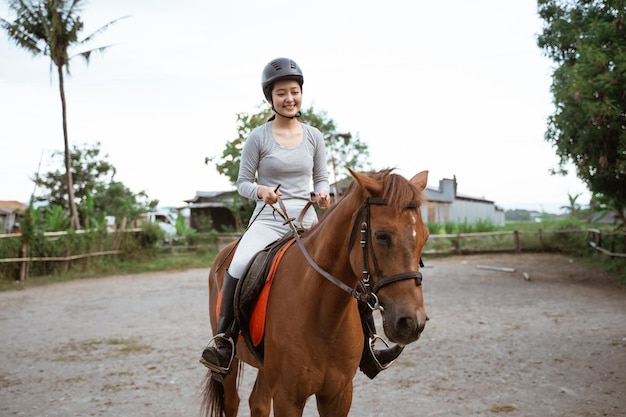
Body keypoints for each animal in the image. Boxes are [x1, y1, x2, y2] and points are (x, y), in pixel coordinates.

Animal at [200, 167, 428, 414]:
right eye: (382, 236)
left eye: (424, 237)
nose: (412, 323)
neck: (323, 315)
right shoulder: (287, 398)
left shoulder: (339, 395)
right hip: (230, 367)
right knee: (232, 401)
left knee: (258, 402)